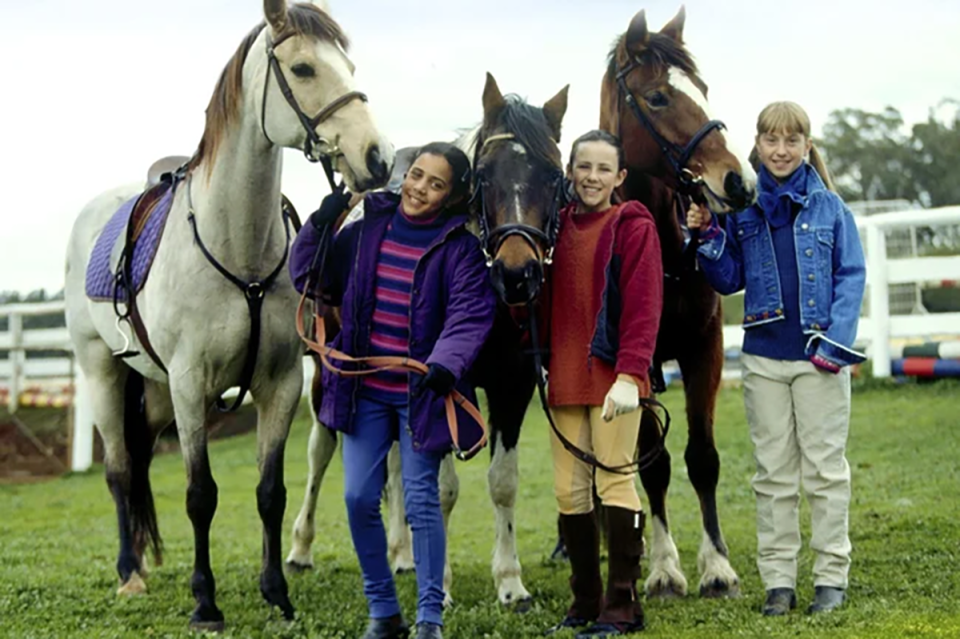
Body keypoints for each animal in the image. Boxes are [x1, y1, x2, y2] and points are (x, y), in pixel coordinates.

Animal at [63, 0, 390, 632]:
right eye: (304, 68)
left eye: (350, 66)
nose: (376, 158)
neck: (238, 246)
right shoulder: (192, 386)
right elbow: (200, 494)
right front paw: (205, 603)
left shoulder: (280, 383)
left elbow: (270, 492)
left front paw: (277, 593)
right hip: (103, 372)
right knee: (119, 470)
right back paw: (129, 573)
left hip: (154, 390)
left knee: (139, 461)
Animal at [600, 6, 756, 600]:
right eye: (658, 97)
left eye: (703, 90)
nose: (739, 180)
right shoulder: (632, 365)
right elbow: (656, 464)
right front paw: (666, 568)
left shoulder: (704, 349)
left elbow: (702, 458)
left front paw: (717, 565)